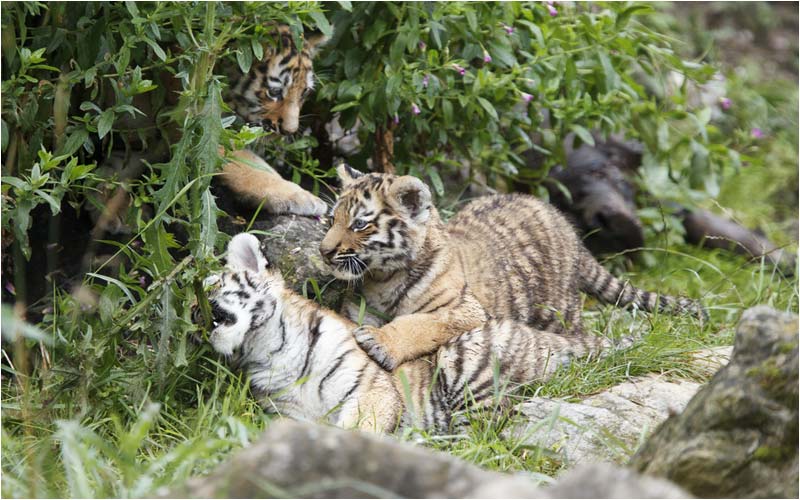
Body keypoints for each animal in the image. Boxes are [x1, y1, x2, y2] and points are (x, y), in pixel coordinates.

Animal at [205, 233, 628, 432]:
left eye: (212, 284)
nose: (197, 311)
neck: (270, 348)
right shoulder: (290, 416)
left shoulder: (370, 390)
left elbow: (359, 430)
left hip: (465, 362)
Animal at [318, 165, 708, 371]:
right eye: (331, 219)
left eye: (359, 224)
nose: (324, 252)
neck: (384, 275)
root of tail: (563, 224)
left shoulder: (465, 311)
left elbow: (421, 324)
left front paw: (381, 342)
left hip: (559, 311)